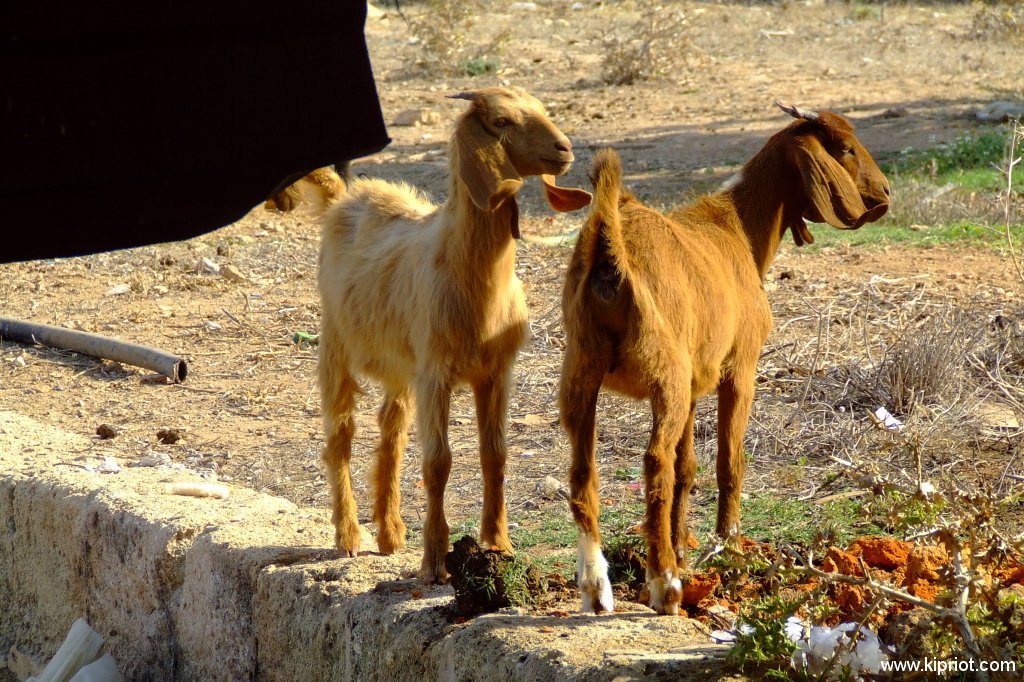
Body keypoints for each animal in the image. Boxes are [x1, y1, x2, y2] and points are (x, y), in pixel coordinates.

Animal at [318, 87, 592, 583]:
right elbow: (438, 462)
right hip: (336, 344)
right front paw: (434, 562)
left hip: (401, 369)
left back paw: (390, 533)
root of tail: (348, 194)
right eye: (501, 121)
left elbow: (496, 454)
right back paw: (348, 537)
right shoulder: (437, 373)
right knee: (340, 437)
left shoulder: (496, 372)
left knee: (391, 429)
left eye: (541, 109)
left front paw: (498, 545)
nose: (564, 149)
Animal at [560, 102, 890, 614]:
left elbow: (688, 467)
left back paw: (598, 587)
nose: (885, 191)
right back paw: (665, 584)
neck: (736, 227)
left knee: (584, 470)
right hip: (665, 373)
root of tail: (609, 246)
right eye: (847, 149)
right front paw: (730, 550)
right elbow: (728, 462)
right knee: (654, 462)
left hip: (583, 367)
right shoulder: (740, 366)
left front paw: (684, 546)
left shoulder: (698, 379)